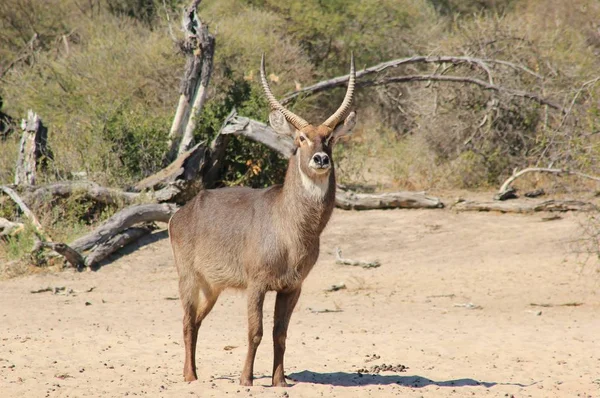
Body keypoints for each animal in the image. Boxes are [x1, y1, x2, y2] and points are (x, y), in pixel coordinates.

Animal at [169, 54, 356, 388]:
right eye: (301, 138)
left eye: (330, 139)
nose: (320, 159)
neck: (291, 229)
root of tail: (182, 212)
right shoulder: (256, 284)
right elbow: (254, 332)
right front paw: (246, 380)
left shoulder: (292, 287)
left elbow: (279, 334)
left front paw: (279, 381)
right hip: (188, 278)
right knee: (188, 321)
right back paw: (190, 377)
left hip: (212, 287)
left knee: (198, 321)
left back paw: (195, 373)